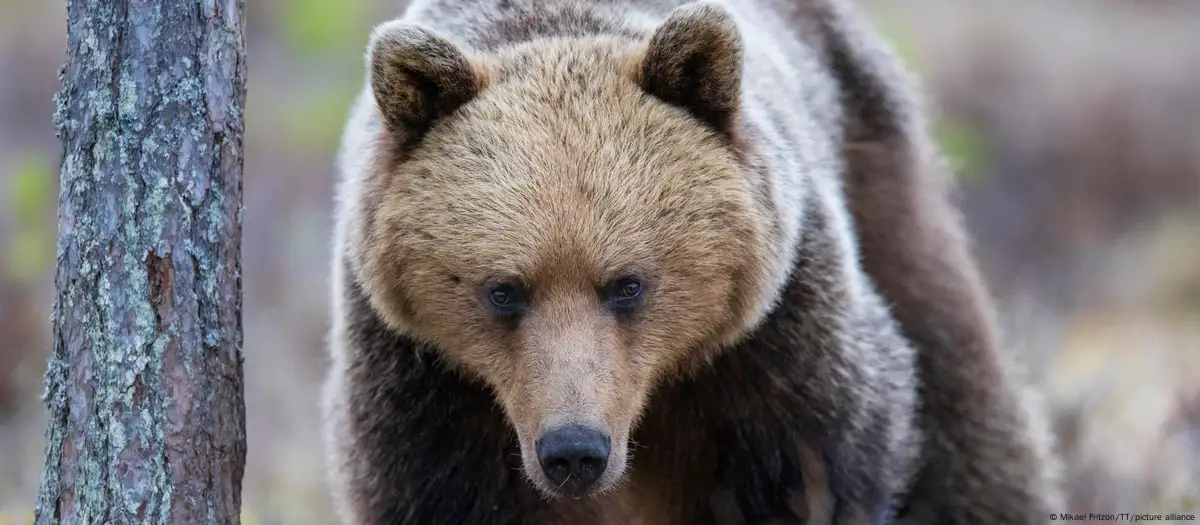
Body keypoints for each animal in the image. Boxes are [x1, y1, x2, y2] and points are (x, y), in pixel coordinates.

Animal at [319, 0, 1060, 520]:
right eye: (504, 289)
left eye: (627, 284)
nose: (574, 450)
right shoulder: (426, 389)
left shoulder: (776, 349)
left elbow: (829, 458)